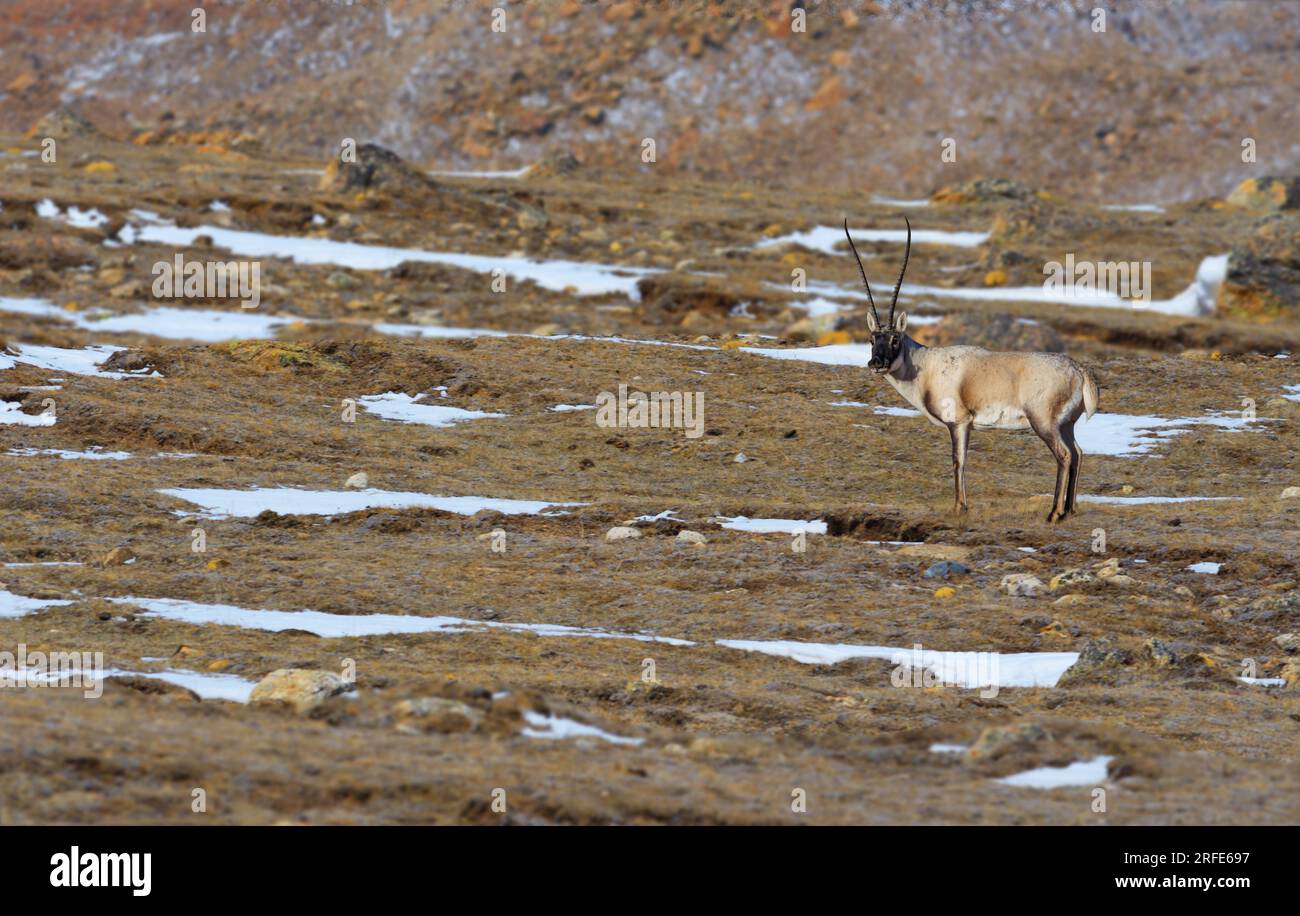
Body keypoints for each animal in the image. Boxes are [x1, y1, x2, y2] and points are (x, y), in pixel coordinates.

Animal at [842, 218, 1097, 522]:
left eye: (895, 339)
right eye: (872, 339)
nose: (876, 363)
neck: (926, 366)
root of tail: (1078, 370)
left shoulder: (959, 422)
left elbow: (958, 460)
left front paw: (959, 507)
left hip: (1044, 423)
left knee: (1065, 455)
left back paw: (1054, 513)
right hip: (1066, 424)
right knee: (1078, 453)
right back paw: (1069, 509)